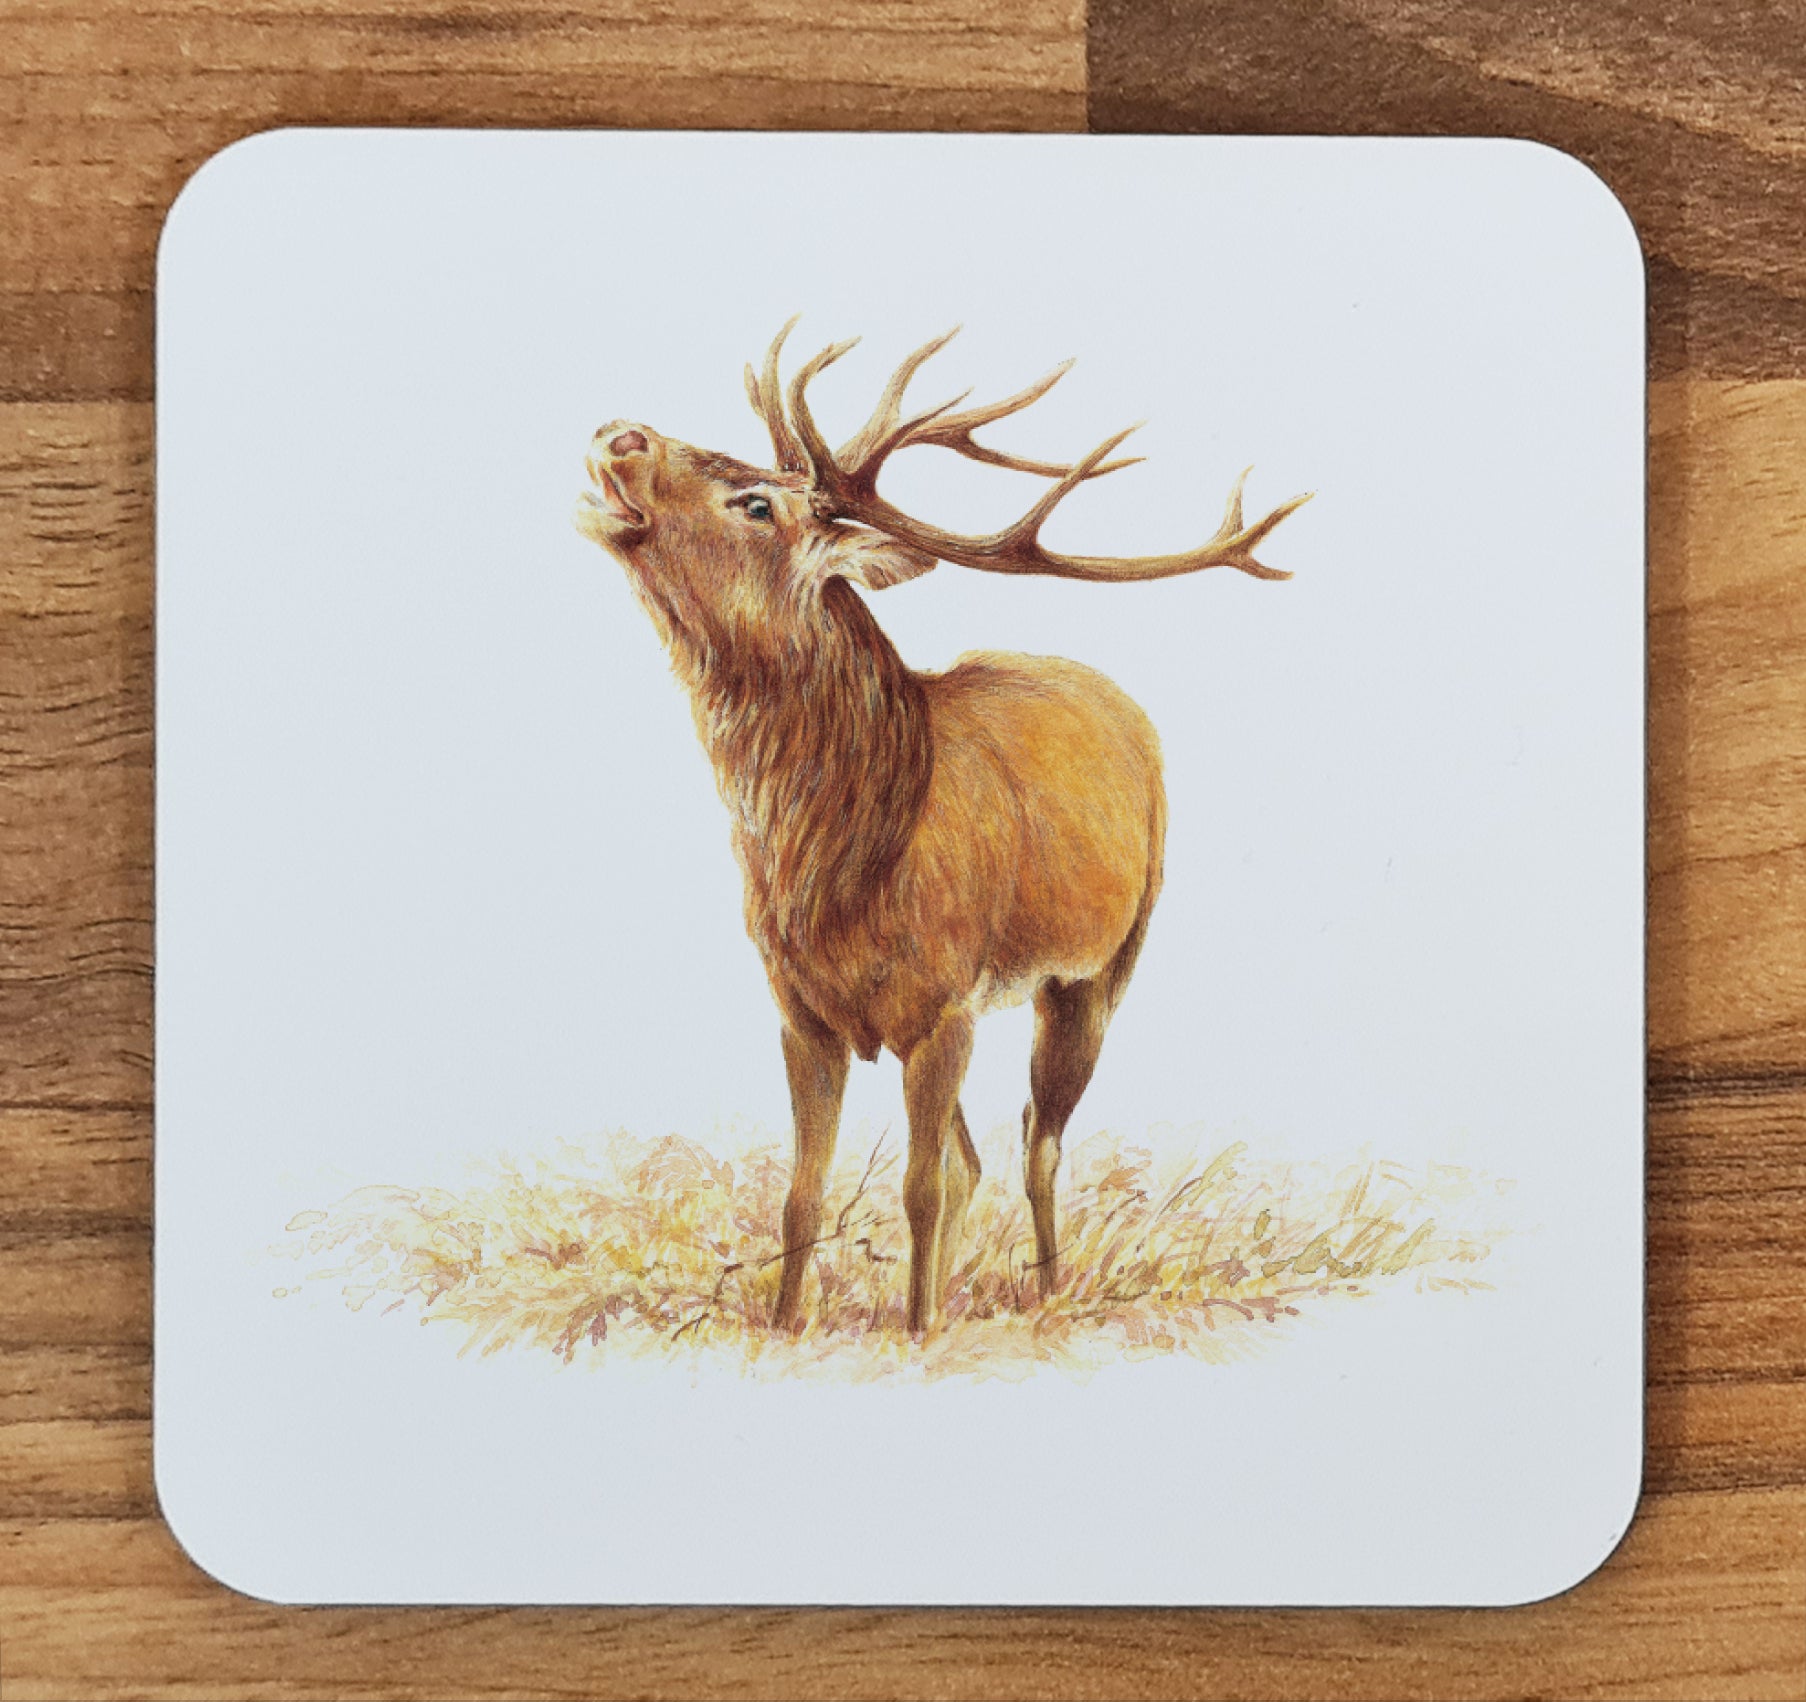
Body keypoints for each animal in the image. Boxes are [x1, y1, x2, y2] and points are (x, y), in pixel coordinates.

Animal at [575, 321, 1309, 1337]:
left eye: (757, 502)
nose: (620, 433)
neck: (841, 863)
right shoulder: (803, 1012)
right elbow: (803, 1194)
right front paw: (785, 1328)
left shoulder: (947, 1003)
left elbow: (922, 1189)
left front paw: (918, 1334)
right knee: (979, 1156)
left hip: (1099, 968)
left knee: (1038, 1142)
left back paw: (1049, 1293)